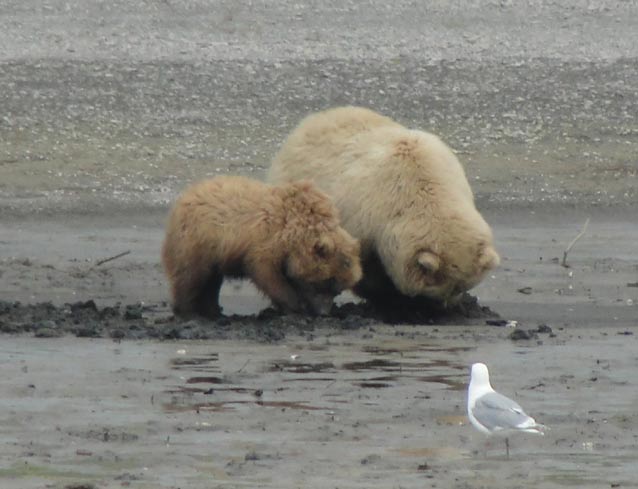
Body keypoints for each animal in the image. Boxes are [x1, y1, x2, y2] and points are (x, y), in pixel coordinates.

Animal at [162, 175, 362, 316]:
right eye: (325, 283)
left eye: (337, 290)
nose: (324, 313)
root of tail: (185, 196)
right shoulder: (267, 243)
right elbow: (266, 273)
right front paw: (294, 305)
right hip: (196, 240)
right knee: (190, 275)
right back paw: (188, 311)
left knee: (211, 280)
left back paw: (213, 309)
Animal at [268, 108, 502, 304]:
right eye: (443, 290)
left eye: (462, 287)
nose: (449, 306)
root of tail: (312, 120)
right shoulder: (367, 221)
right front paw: (386, 297)